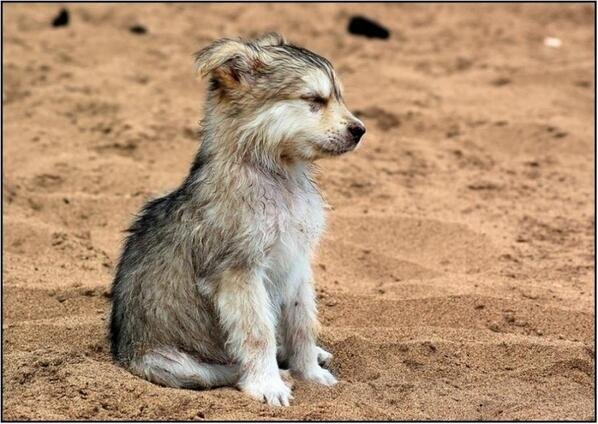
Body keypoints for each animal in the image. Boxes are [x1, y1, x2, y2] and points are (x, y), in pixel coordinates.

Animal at [110, 31, 368, 406]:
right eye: (313, 100)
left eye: (337, 97)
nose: (360, 130)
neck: (278, 176)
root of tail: (121, 352)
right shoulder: (238, 272)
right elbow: (258, 332)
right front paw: (268, 384)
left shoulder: (296, 262)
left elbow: (302, 322)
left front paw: (311, 372)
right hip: (173, 365)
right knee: (217, 371)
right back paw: (273, 373)